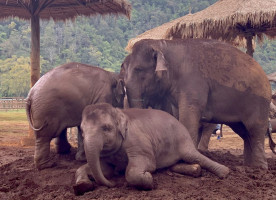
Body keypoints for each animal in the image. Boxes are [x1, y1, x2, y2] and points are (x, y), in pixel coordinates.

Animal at [73, 102, 229, 195]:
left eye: (106, 128)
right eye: (82, 130)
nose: (114, 183)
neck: (120, 112)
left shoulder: (138, 142)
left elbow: (145, 165)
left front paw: (148, 178)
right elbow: (104, 169)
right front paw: (82, 187)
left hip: (182, 139)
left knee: (192, 155)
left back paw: (224, 172)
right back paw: (194, 169)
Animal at [120, 38, 274, 170]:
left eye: (139, 69)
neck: (164, 44)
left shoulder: (193, 83)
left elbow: (188, 116)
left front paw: (187, 163)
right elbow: (173, 115)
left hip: (259, 102)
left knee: (255, 129)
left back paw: (259, 168)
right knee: (243, 131)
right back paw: (248, 165)